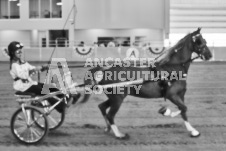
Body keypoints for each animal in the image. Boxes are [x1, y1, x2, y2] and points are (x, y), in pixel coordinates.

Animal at [78, 27, 213, 139]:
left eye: (204, 40)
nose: (209, 55)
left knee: (102, 107)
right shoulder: (171, 95)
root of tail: (105, 70)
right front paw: (165, 111)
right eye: (199, 41)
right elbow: (183, 108)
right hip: (117, 98)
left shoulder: (181, 95)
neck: (172, 68)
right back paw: (119, 135)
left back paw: (108, 128)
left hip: (114, 97)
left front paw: (193, 131)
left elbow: (184, 111)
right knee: (110, 114)